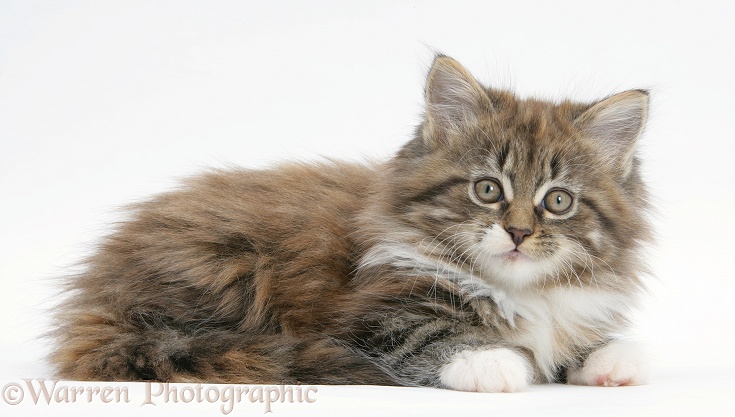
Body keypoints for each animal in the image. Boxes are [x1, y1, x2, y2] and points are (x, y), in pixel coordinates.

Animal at [50, 54, 656, 390]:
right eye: (487, 190)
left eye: (558, 201)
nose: (519, 232)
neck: (518, 289)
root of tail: (97, 294)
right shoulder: (370, 313)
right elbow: (430, 333)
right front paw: (491, 362)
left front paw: (609, 358)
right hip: (229, 269)